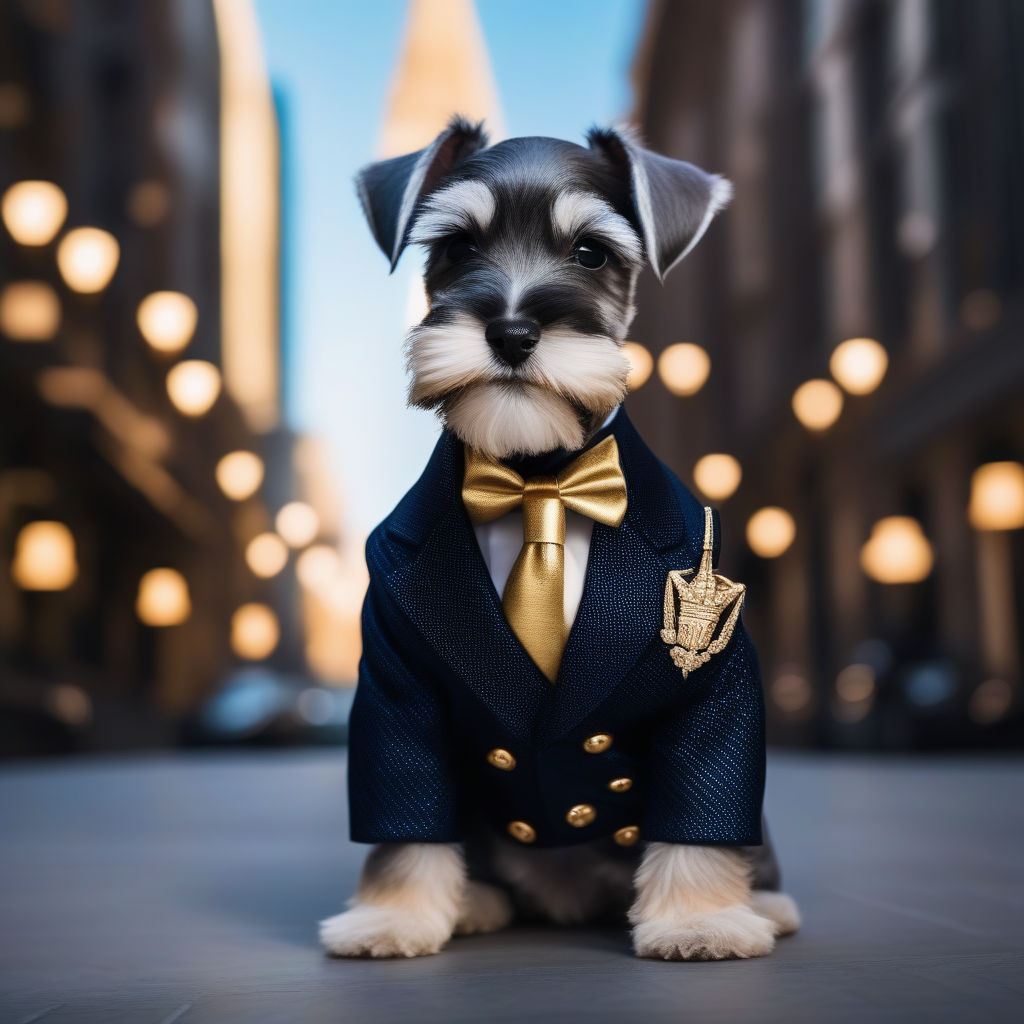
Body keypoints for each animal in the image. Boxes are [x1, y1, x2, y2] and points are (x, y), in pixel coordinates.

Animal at [319, 117, 798, 958]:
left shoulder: (712, 693)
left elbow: (699, 808)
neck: (540, 477)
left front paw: (699, 920)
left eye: (591, 253)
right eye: (456, 247)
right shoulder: (395, 688)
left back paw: (762, 904)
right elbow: (405, 814)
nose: (512, 331)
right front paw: (393, 915)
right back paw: (474, 901)